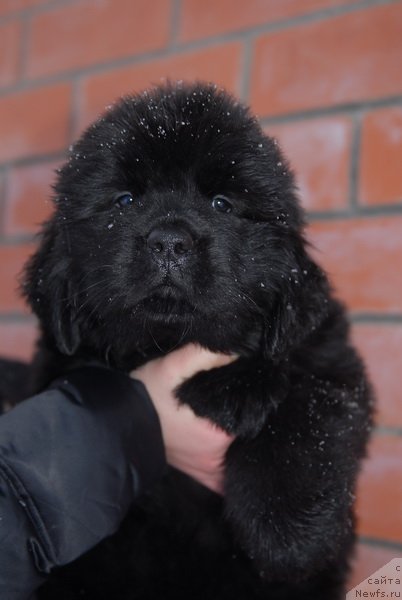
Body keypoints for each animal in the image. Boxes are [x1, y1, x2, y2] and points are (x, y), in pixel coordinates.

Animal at [16, 82, 374, 596]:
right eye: (125, 200)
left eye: (221, 203)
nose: (169, 241)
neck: (172, 342)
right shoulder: (60, 359)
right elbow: (96, 388)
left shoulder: (325, 354)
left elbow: (305, 415)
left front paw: (290, 537)